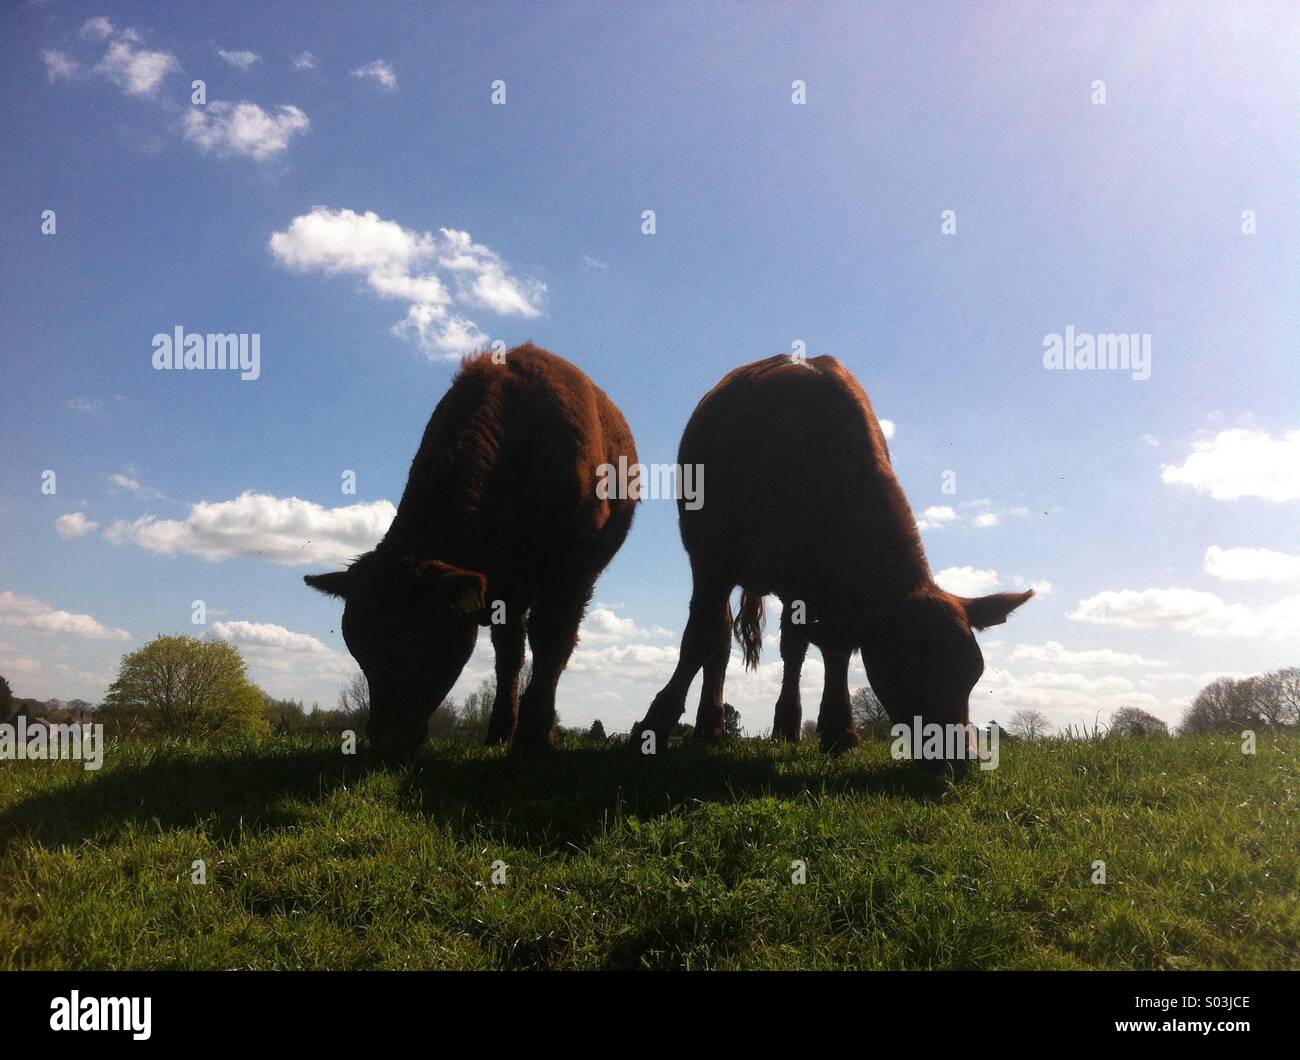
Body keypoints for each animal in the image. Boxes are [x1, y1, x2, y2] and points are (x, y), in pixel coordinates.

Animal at [300, 348, 634, 764]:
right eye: (358, 647)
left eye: (424, 643)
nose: (385, 743)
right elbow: (510, 653)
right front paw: (507, 734)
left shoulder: (570, 575)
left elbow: (552, 642)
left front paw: (536, 738)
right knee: (510, 651)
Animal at [631, 353, 1034, 754]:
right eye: (907, 668)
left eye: (974, 672)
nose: (961, 758)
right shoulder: (711, 560)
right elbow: (700, 638)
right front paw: (654, 726)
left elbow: (832, 650)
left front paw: (839, 729)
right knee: (720, 638)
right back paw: (710, 725)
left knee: (789, 647)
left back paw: (783, 725)